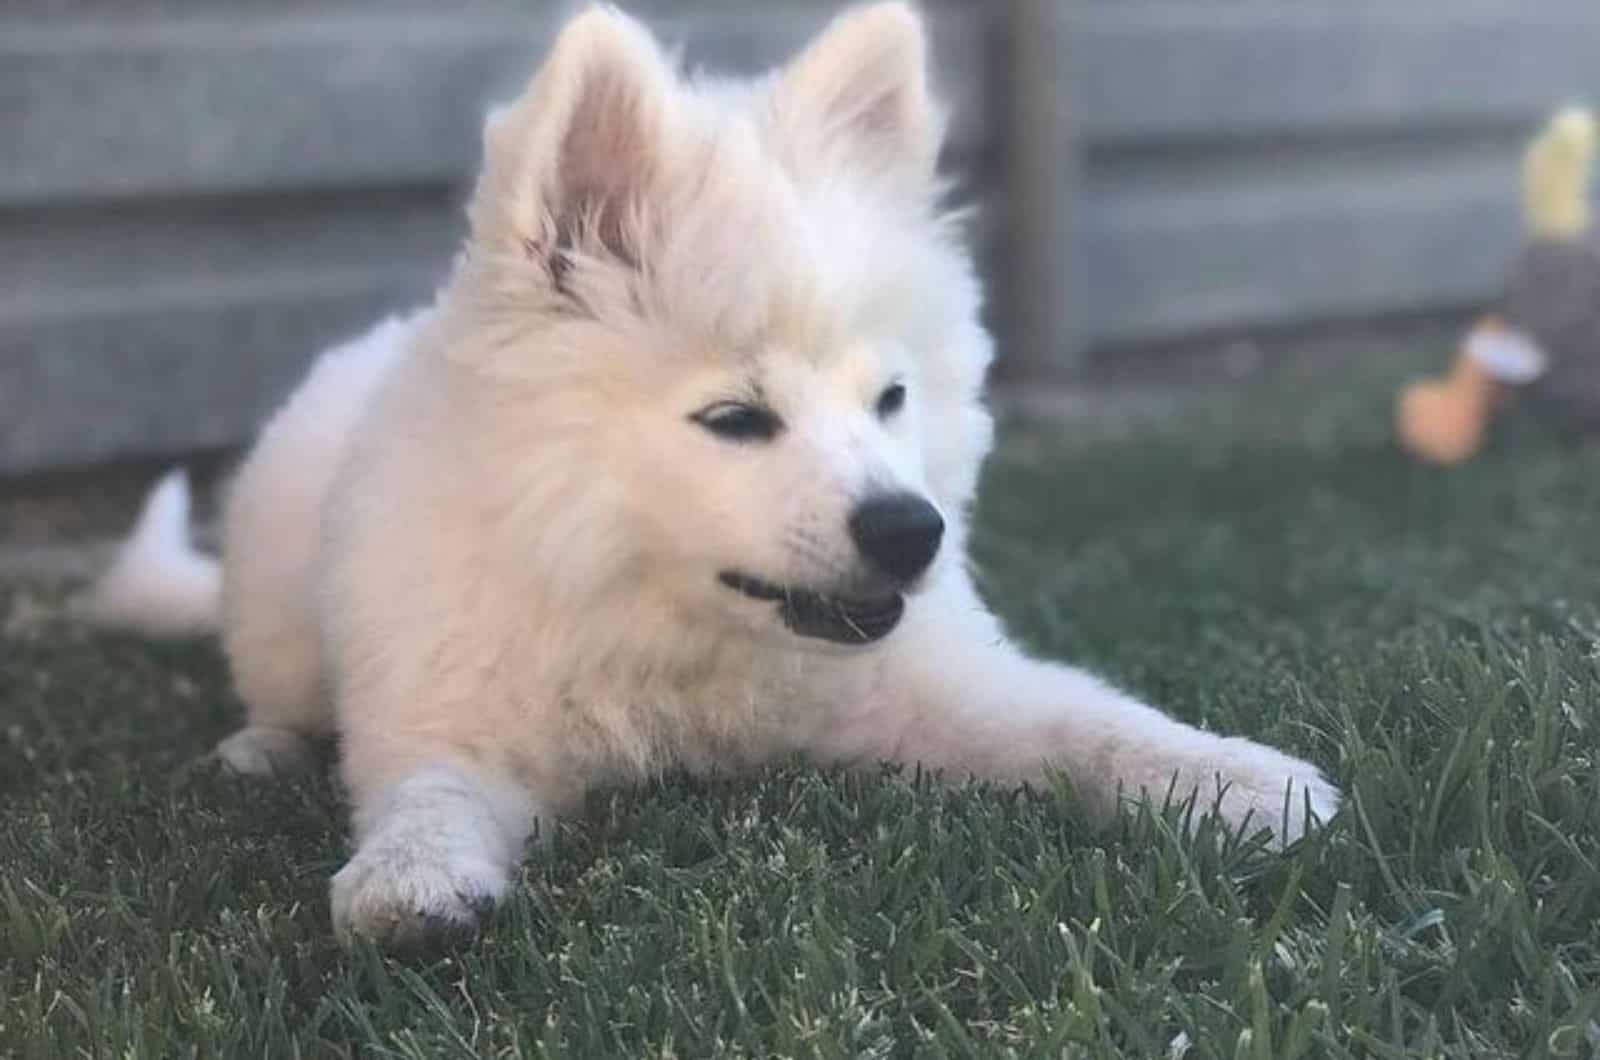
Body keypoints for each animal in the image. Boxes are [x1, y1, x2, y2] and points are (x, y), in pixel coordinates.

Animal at [84, 0, 1337, 947]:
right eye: (735, 417)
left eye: (889, 399)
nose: (912, 531)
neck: (673, 630)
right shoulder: (448, 706)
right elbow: (423, 792)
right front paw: (410, 882)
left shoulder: (930, 686)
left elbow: (1088, 720)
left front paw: (1239, 784)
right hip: (281, 609)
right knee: (279, 691)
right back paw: (259, 747)